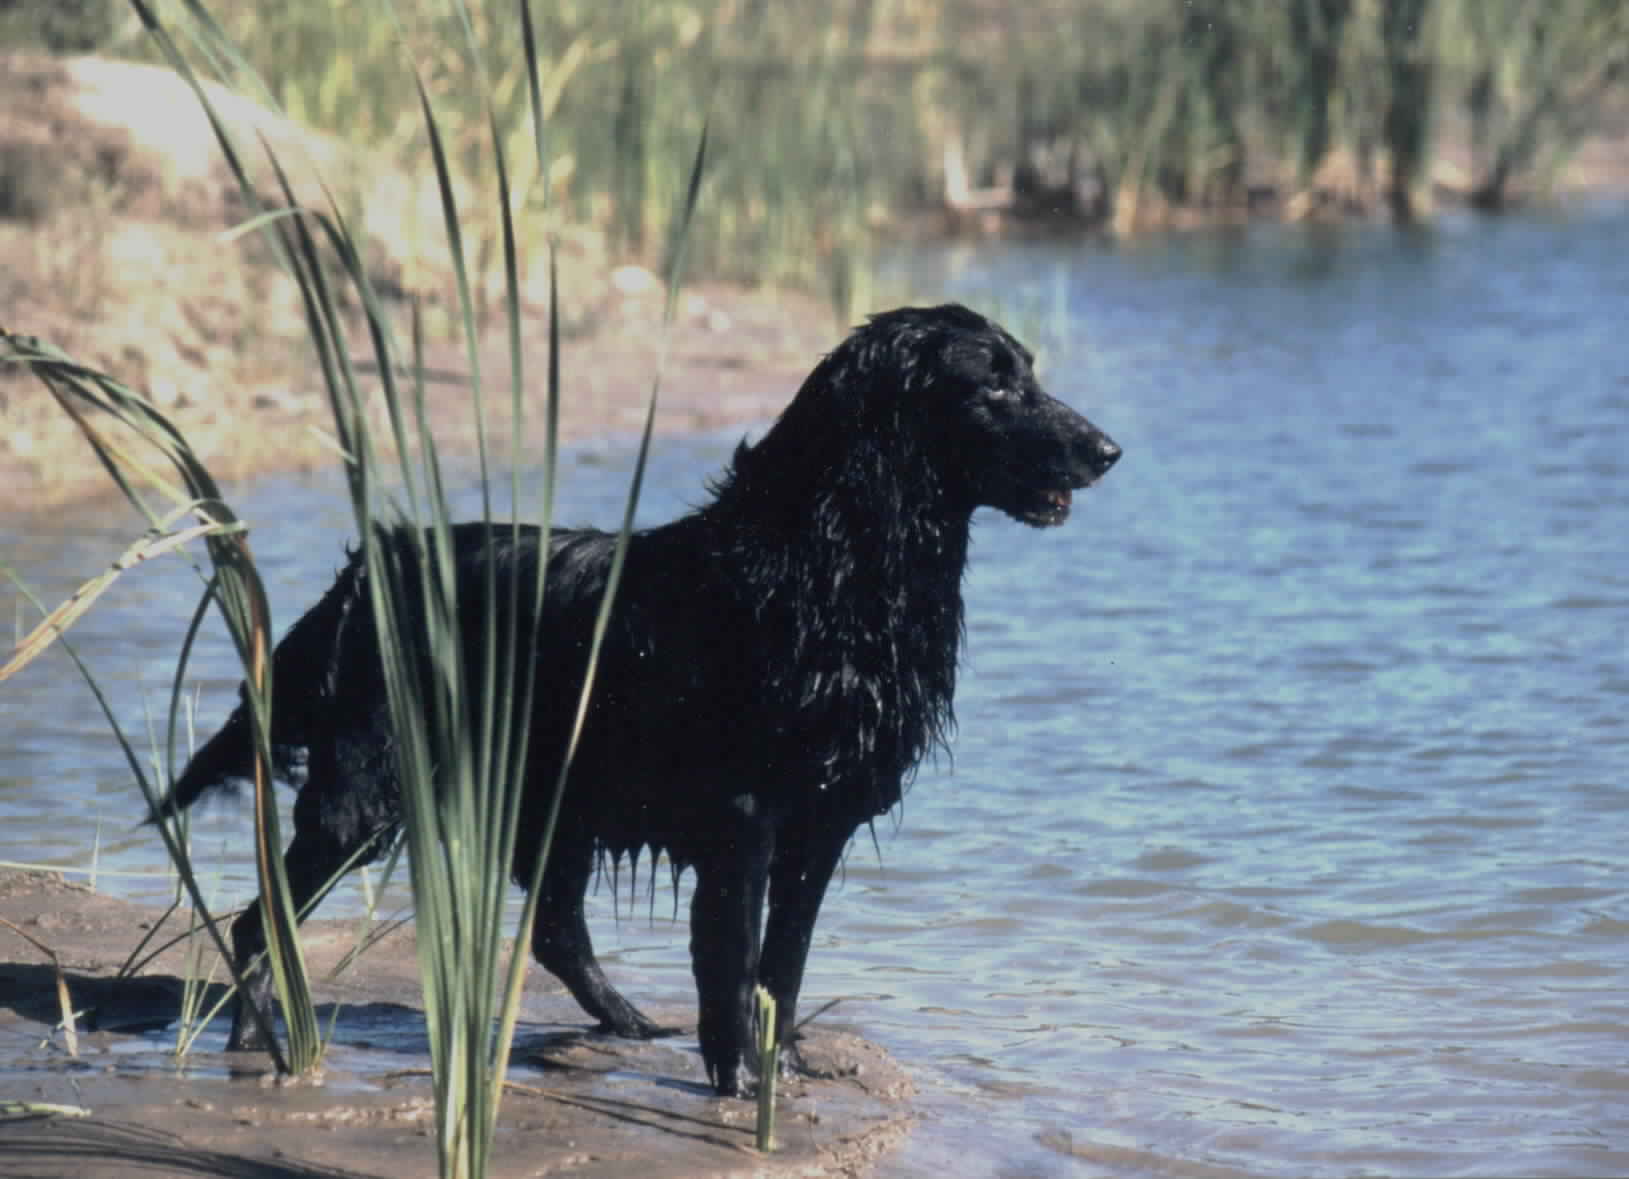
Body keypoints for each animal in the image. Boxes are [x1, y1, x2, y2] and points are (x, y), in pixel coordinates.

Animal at [155, 299, 1120, 1094]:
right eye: (992, 383)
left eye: (1028, 369)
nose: (1107, 450)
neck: (828, 566)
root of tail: (367, 574)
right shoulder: (745, 817)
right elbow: (734, 961)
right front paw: (740, 1081)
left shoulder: (822, 819)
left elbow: (783, 964)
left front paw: (780, 1069)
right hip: (366, 794)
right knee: (258, 924)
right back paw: (264, 1043)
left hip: (553, 799)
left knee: (555, 929)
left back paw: (628, 1022)